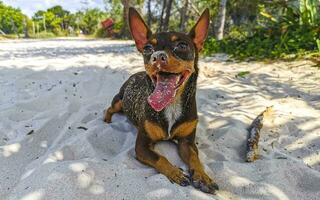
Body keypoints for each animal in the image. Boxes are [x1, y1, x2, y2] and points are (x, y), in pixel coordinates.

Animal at [104, 7, 219, 194]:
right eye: (147, 48)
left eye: (182, 45)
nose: (157, 56)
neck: (171, 104)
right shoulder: (142, 146)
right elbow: (160, 158)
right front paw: (175, 173)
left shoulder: (187, 143)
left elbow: (195, 158)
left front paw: (202, 176)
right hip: (118, 101)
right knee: (109, 108)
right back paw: (107, 119)